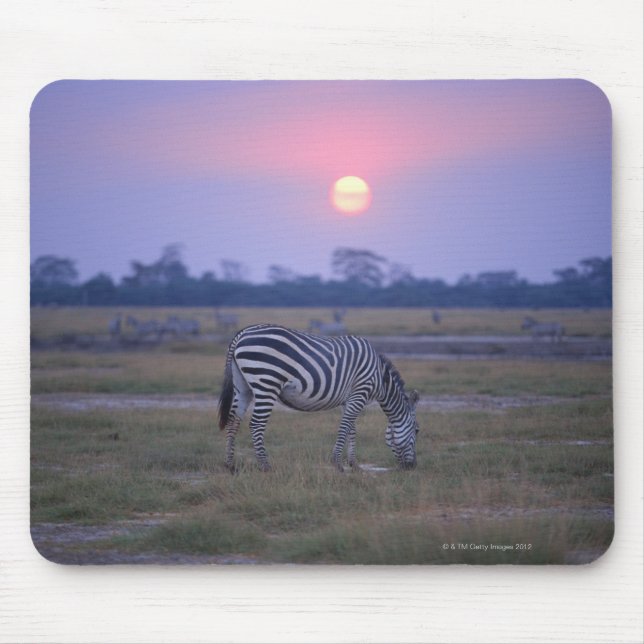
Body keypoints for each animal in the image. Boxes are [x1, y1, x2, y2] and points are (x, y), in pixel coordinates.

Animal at [218, 324, 420, 473]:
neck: (380, 378)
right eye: (417, 431)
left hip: (242, 386)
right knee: (256, 424)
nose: (412, 467)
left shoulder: (350, 398)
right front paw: (338, 464)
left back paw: (230, 464)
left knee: (234, 420)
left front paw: (354, 464)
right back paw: (266, 466)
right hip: (267, 382)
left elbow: (352, 428)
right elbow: (345, 427)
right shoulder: (360, 392)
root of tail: (242, 333)